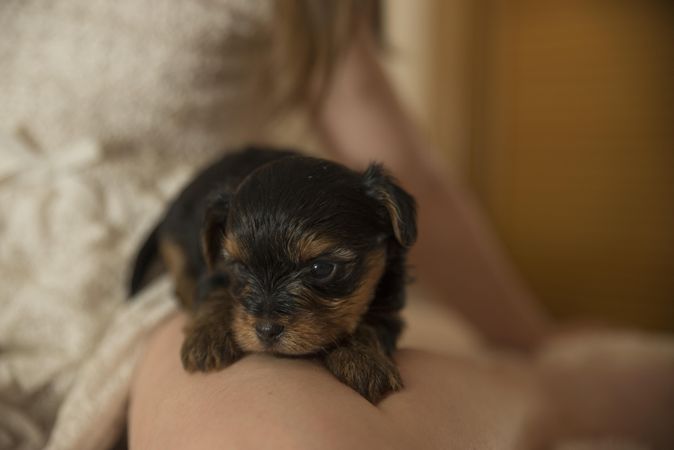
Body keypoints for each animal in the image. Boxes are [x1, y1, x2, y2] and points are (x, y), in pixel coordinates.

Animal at [129, 148, 414, 404]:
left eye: (321, 268)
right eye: (240, 268)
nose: (266, 330)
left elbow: (371, 324)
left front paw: (363, 358)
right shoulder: (215, 271)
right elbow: (216, 294)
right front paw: (207, 335)